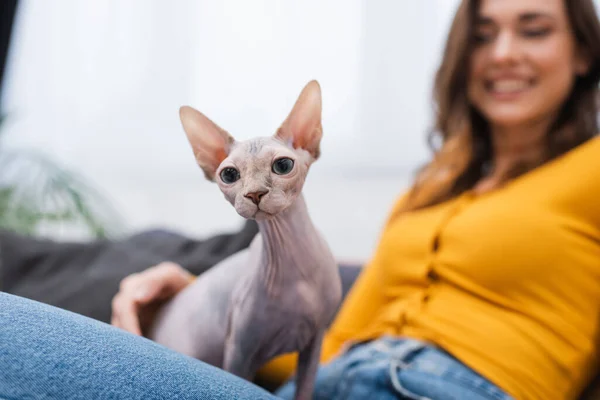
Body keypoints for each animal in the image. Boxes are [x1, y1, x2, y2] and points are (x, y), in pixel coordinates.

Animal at [146, 79, 342, 398]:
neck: (292, 262)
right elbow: (238, 380)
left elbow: (305, 389)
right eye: (229, 174)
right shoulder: (239, 350)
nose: (254, 194)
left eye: (283, 166)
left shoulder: (314, 340)